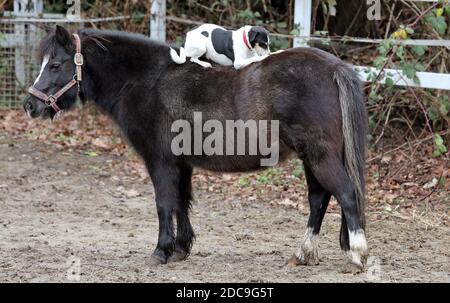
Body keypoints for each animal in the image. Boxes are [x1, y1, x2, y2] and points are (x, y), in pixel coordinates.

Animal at [23, 25, 370, 270]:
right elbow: (182, 202)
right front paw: (180, 248)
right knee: (319, 201)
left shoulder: (160, 161)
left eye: (55, 65)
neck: (148, 80)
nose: (30, 105)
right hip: (312, 158)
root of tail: (335, 68)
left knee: (346, 194)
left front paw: (161, 251)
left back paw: (356, 256)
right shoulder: (181, 163)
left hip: (320, 156)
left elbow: (164, 203)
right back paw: (303, 254)